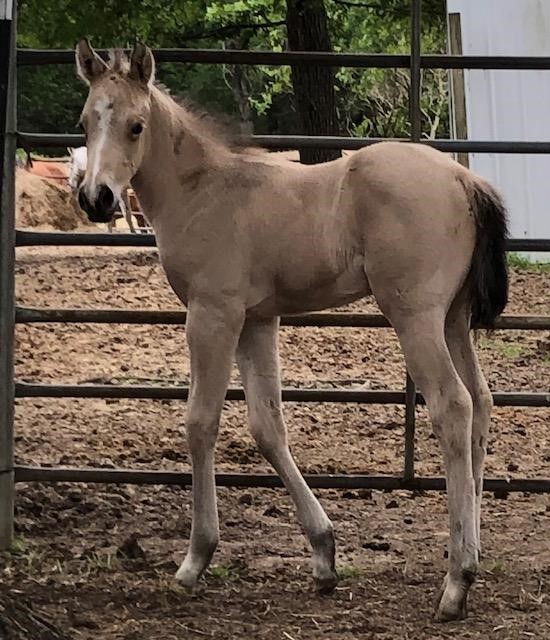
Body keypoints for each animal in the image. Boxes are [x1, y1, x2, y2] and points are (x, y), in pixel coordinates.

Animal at [74, 40, 509, 621]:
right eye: (84, 122)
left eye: (136, 126)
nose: (95, 198)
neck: (203, 190)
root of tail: (466, 179)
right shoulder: (258, 320)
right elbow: (267, 426)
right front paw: (323, 554)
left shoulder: (213, 314)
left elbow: (200, 422)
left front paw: (195, 559)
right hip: (453, 318)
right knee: (481, 400)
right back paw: (470, 556)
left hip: (415, 316)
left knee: (452, 404)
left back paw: (457, 582)